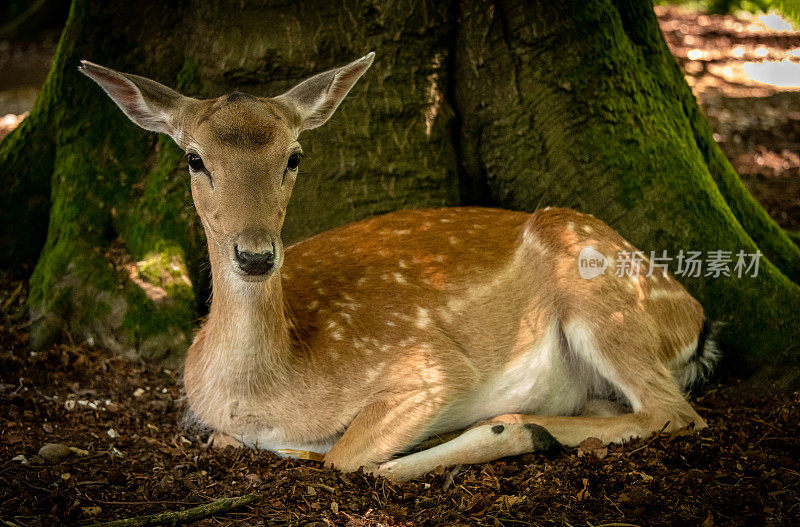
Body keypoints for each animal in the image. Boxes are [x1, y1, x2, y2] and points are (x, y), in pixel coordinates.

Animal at [79, 53, 720, 482]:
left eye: (294, 156)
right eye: (194, 158)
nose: (255, 255)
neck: (266, 392)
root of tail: (697, 319)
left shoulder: (428, 368)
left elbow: (345, 458)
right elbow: (226, 441)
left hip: (602, 295)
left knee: (674, 412)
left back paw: (519, 427)